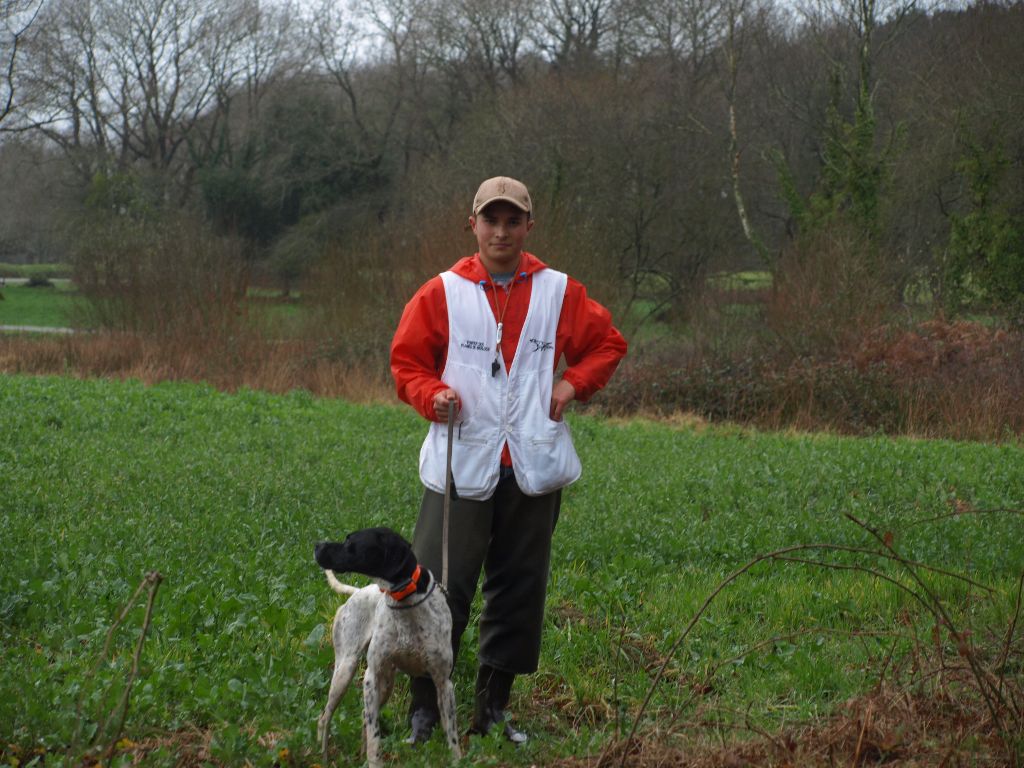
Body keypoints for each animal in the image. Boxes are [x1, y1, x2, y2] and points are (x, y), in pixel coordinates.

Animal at [309, 528, 458, 768]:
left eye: (350, 541)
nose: (317, 545)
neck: (406, 606)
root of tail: (357, 591)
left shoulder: (443, 682)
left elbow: (452, 735)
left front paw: (459, 760)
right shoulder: (371, 677)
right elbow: (374, 737)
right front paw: (374, 761)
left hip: (386, 684)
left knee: (362, 718)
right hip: (346, 671)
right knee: (326, 718)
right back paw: (323, 757)